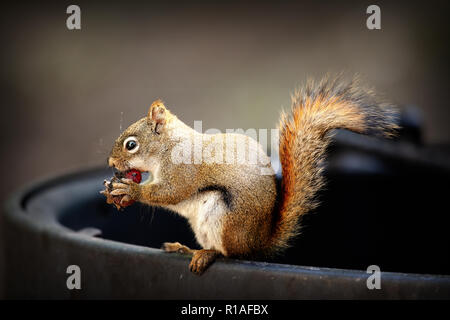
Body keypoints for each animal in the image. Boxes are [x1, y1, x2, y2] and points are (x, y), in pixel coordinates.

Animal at [101, 75, 398, 276]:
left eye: (131, 144)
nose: (111, 162)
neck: (169, 146)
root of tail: (258, 243)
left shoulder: (183, 169)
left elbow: (171, 192)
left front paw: (130, 191)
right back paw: (185, 248)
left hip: (223, 218)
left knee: (228, 254)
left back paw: (205, 254)